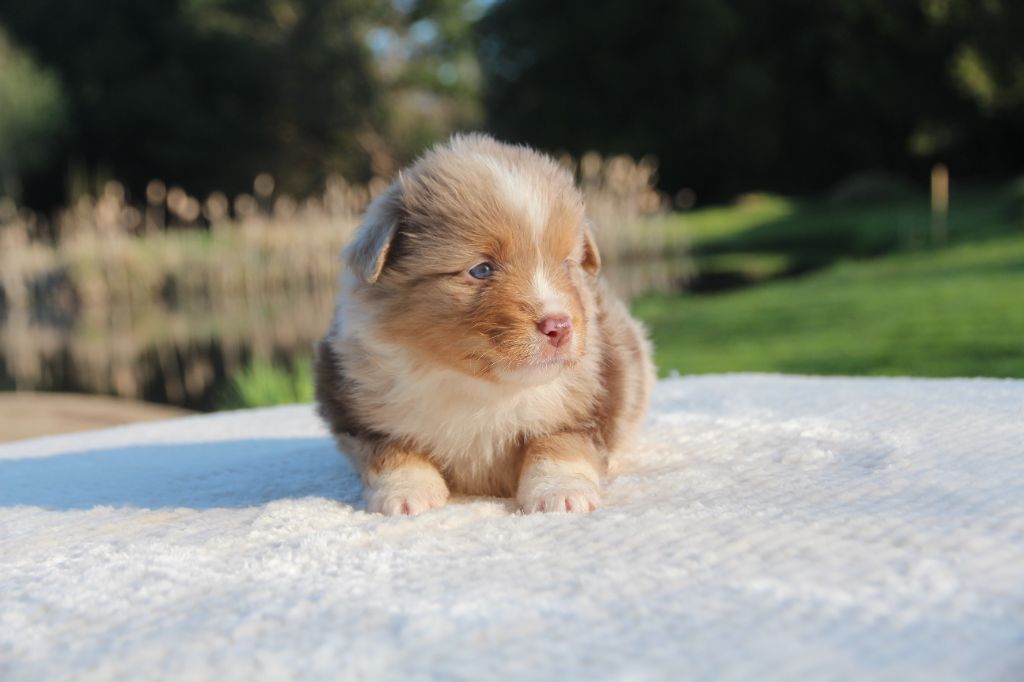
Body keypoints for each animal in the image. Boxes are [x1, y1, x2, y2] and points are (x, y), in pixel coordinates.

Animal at [314, 134, 654, 515]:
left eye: (567, 264)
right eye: (481, 270)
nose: (560, 326)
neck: (478, 388)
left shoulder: (586, 403)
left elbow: (558, 444)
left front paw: (561, 494)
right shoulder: (361, 414)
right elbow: (393, 451)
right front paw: (407, 495)